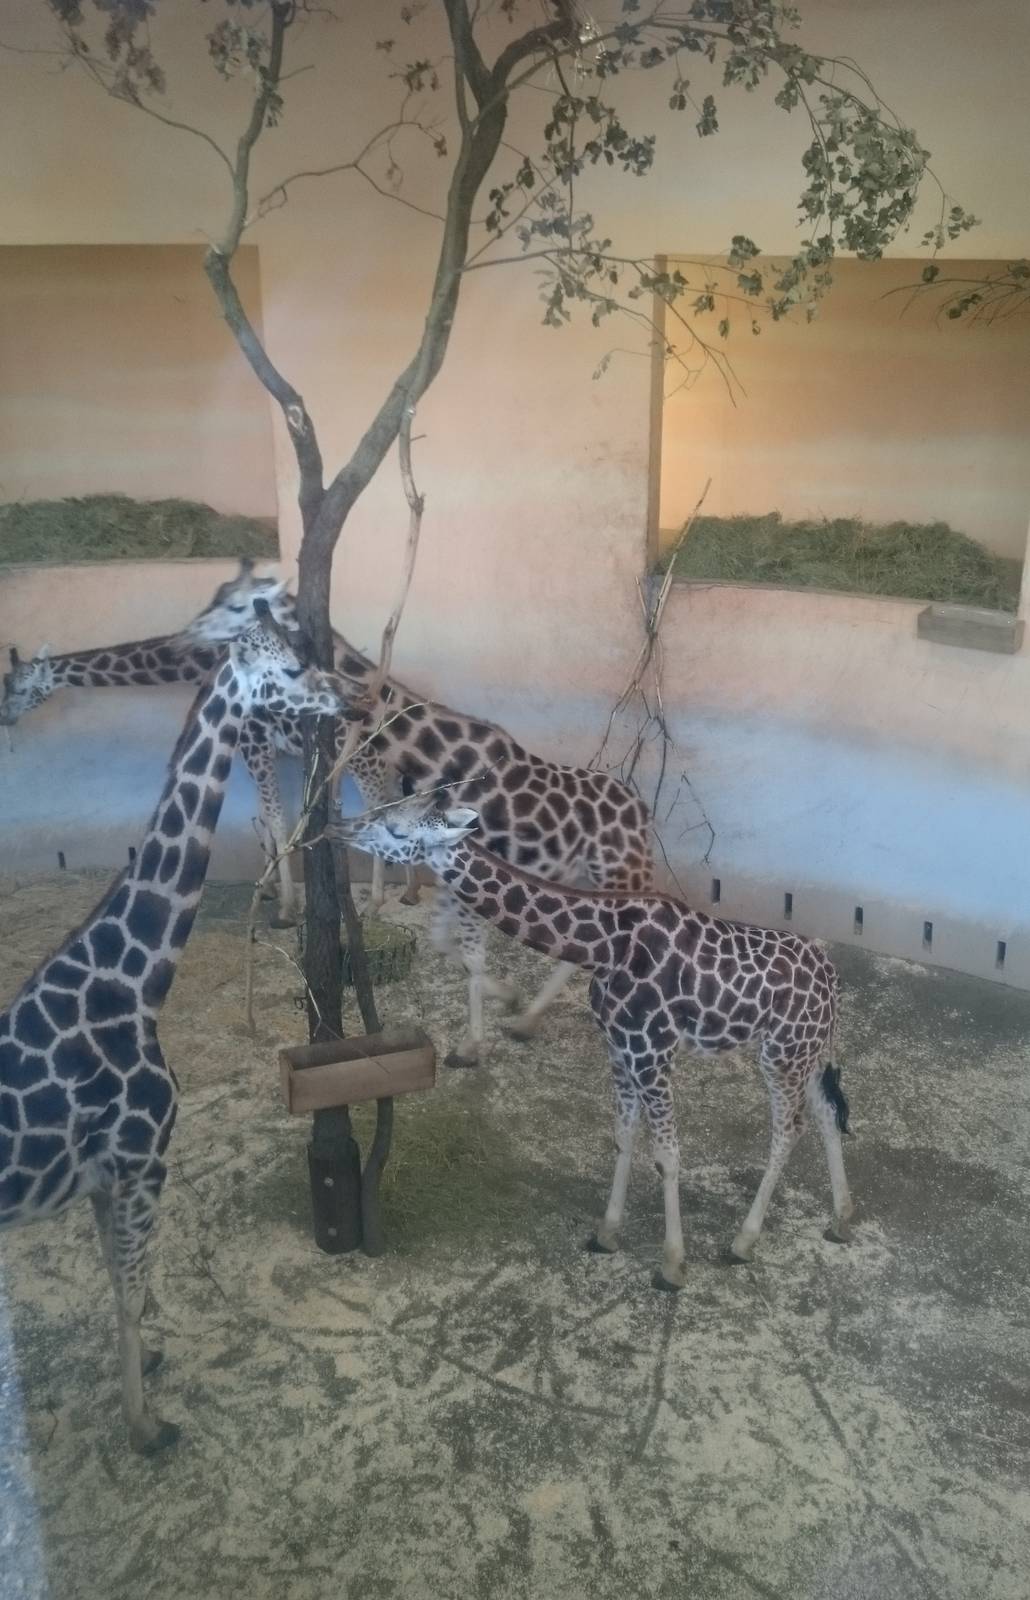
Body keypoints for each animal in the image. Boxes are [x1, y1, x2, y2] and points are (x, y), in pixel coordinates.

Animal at [0, 608, 346, 1453]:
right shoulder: (134, 1158)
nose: (343, 699)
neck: (132, 980)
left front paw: (145, 1390)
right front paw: (146, 1423)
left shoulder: (117, 1171)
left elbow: (122, 1279)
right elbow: (128, 1284)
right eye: (287, 668)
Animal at [180, 575, 654, 1067]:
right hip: (584, 873)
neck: (441, 758)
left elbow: (470, 953)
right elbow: (446, 943)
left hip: (617, 871)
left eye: (237, 617)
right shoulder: (452, 872)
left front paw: (469, 1046)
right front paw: (506, 999)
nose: (190, 638)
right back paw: (527, 1020)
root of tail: (640, 811)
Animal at [333, 798, 853, 1289]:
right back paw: (841, 1220)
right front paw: (606, 1234)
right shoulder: (620, 1049)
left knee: (788, 1130)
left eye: (398, 829)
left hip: (782, 1055)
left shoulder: (652, 1052)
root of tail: (830, 978)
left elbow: (667, 1155)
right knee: (827, 1113)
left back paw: (743, 1241)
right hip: (805, 1052)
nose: (341, 827)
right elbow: (623, 1137)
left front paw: (672, 1266)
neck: (604, 946)